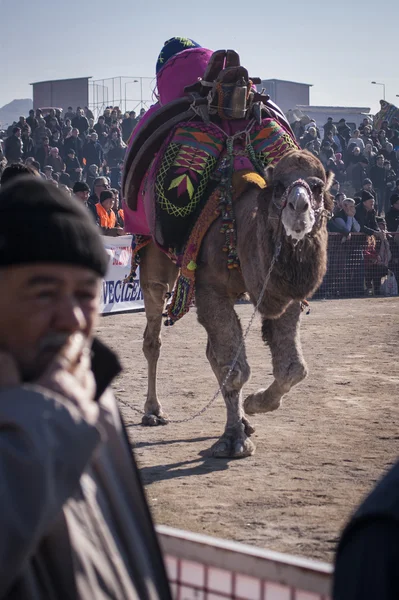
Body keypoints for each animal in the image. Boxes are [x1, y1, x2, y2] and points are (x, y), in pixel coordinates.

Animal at [130, 150, 332, 460]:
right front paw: (233, 439)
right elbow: (234, 369)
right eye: (278, 187)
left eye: (318, 187)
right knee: (153, 337)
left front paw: (253, 404)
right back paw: (153, 411)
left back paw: (244, 419)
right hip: (154, 258)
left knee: (211, 352)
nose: (299, 206)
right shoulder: (209, 287)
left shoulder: (281, 293)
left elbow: (293, 367)